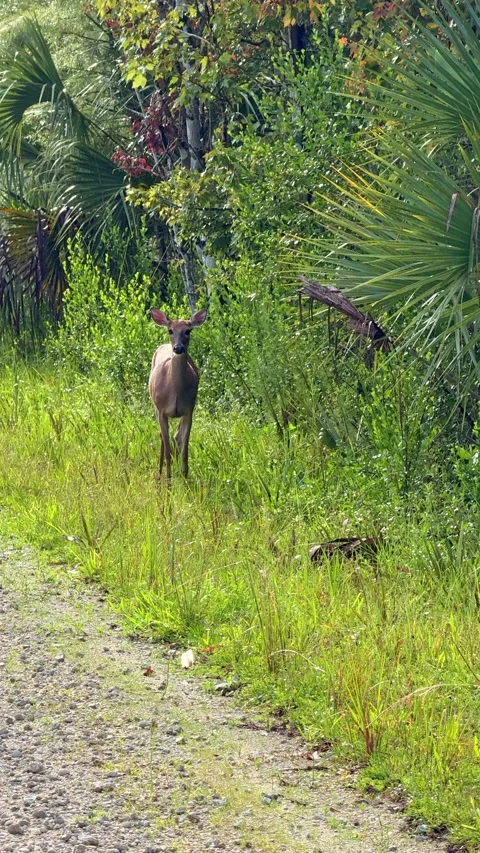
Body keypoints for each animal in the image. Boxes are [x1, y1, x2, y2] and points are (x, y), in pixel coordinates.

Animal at [149, 307, 207, 480]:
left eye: (188, 331)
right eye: (170, 330)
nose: (178, 348)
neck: (173, 390)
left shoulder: (189, 409)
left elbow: (185, 450)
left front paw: (185, 478)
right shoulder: (161, 410)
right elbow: (168, 451)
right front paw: (168, 482)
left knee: (176, 437)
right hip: (154, 405)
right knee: (163, 437)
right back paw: (160, 474)